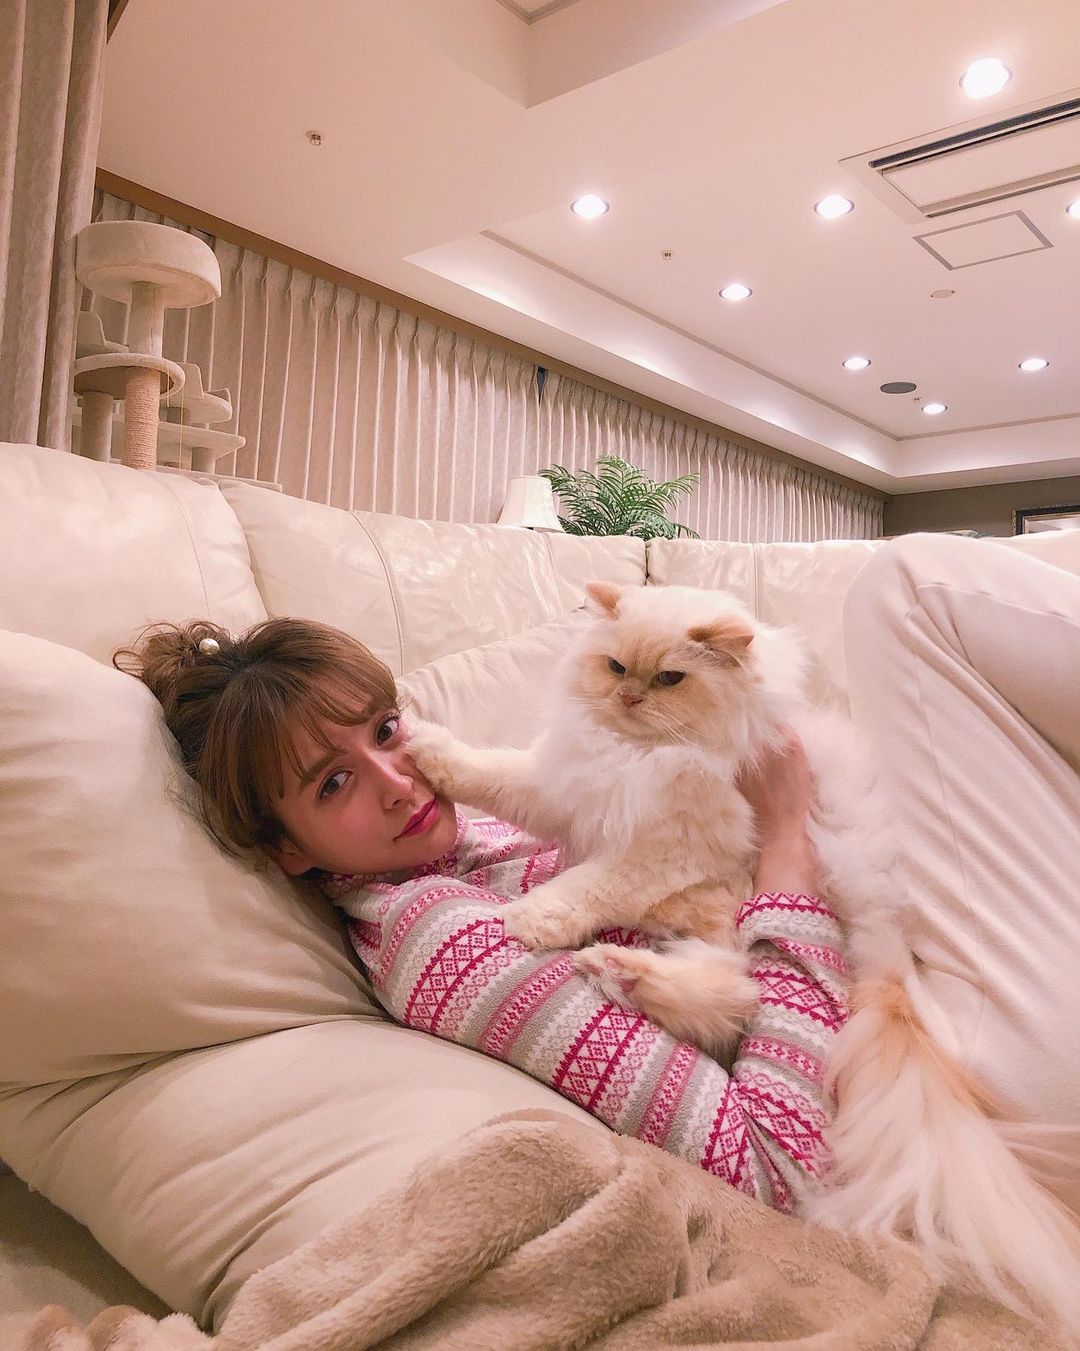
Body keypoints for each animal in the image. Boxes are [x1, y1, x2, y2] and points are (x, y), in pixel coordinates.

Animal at [408, 581, 1080, 1338]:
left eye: (671, 678)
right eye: (616, 668)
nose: (629, 699)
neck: (641, 755)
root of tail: (888, 951)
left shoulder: (666, 850)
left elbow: (585, 884)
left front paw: (531, 918)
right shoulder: (564, 789)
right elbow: (488, 772)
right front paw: (419, 745)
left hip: (724, 908)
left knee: (737, 993)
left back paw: (616, 967)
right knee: (730, 995)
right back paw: (618, 970)